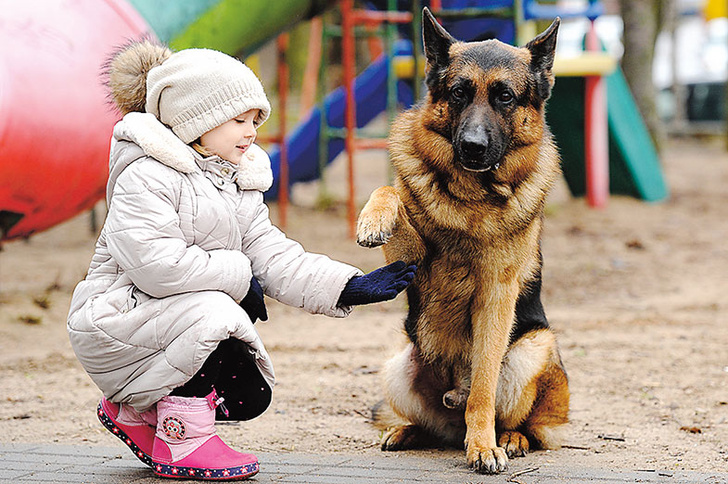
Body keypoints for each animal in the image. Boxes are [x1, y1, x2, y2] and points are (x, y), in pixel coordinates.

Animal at [356, 9, 568, 474]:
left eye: (505, 97)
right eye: (458, 93)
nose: (471, 147)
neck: (470, 198)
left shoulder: (495, 298)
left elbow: (484, 388)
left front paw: (484, 446)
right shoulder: (411, 258)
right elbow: (391, 189)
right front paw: (372, 219)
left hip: (532, 349)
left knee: (527, 426)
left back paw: (506, 438)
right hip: (396, 365)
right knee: (430, 426)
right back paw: (407, 431)